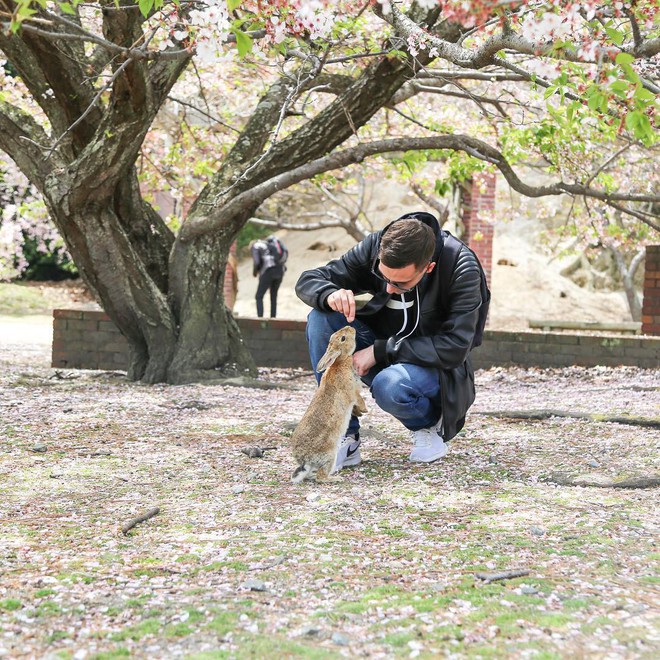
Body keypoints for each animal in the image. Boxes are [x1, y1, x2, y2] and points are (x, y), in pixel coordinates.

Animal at [292, 326, 368, 484]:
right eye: (343, 338)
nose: (351, 328)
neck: (341, 361)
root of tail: (305, 460)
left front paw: (359, 412)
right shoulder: (353, 391)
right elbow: (359, 399)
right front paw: (365, 410)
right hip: (330, 454)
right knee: (321, 477)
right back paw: (335, 479)